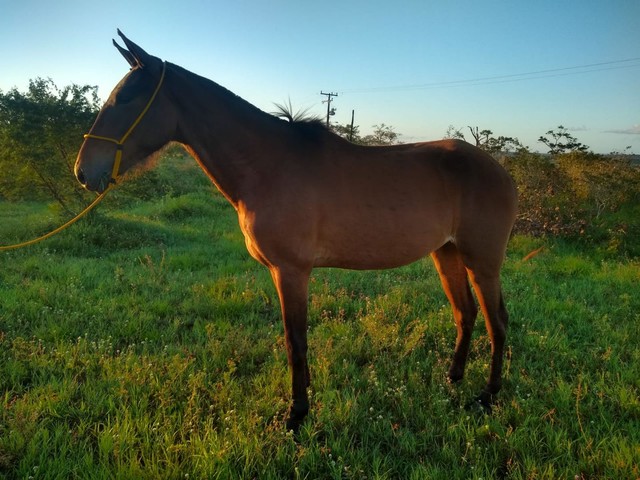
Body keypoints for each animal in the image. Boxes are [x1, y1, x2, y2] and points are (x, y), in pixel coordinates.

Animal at [74, 31, 520, 434]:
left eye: (125, 98)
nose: (83, 171)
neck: (268, 165)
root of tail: (500, 170)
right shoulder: (283, 272)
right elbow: (296, 341)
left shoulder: (291, 271)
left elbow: (295, 341)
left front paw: (296, 414)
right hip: (446, 253)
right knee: (466, 312)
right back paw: (454, 378)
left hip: (483, 261)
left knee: (496, 321)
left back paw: (488, 395)